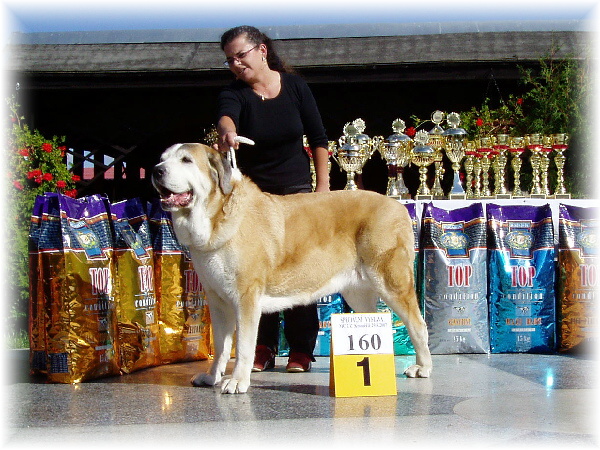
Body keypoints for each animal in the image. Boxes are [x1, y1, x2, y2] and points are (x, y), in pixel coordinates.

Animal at [151, 142, 432, 392]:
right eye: (163, 158)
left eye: (186, 160)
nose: (156, 170)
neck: (217, 213)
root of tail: (397, 206)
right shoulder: (218, 301)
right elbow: (221, 346)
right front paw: (212, 377)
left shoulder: (245, 298)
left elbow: (243, 346)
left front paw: (237, 381)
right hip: (358, 292)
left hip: (391, 283)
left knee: (418, 325)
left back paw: (423, 367)